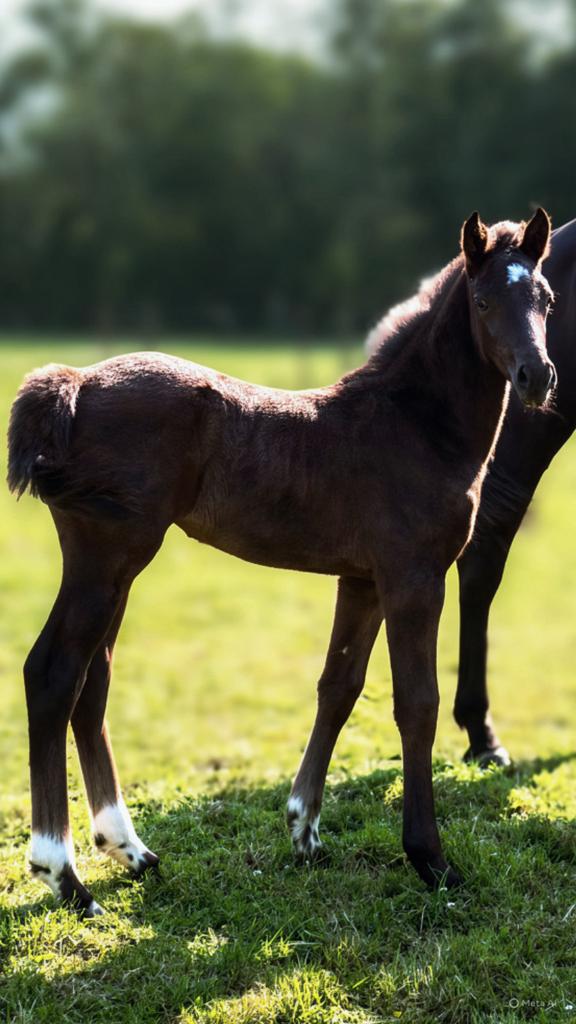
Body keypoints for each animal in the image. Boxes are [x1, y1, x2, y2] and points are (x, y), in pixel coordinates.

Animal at [8, 209, 555, 916]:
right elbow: (417, 704)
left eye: (546, 299)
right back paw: (64, 875)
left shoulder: (362, 580)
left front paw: (304, 832)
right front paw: (431, 860)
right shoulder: (414, 578)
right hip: (106, 554)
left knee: (91, 681)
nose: (538, 376)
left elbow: (339, 687)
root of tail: (72, 385)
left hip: (117, 564)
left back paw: (130, 851)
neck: (413, 426)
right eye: (484, 302)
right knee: (53, 674)